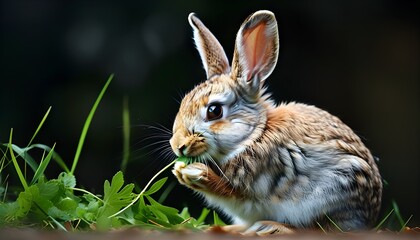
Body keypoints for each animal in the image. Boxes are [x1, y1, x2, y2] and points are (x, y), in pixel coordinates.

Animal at [169, 10, 382, 235]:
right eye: (183, 103)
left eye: (214, 111)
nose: (178, 145)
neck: (255, 134)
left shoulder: (251, 185)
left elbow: (229, 192)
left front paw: (194, 173)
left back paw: (271, 227)